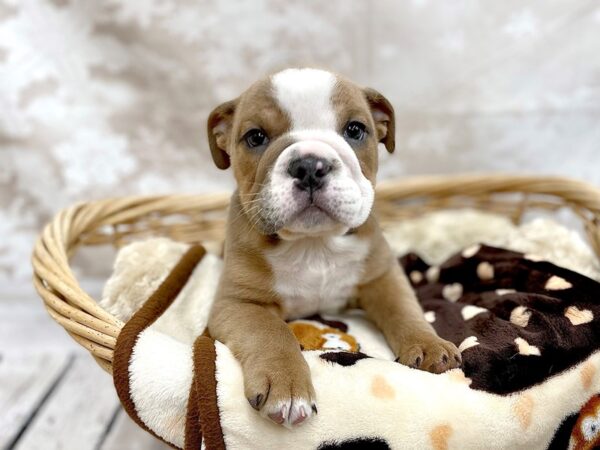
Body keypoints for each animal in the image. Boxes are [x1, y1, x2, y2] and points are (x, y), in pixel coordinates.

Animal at [206, 67, 460, 428]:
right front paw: (287, 386)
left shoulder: (383, 277)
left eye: (355, 130)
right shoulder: (239, 303)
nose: (310, 165)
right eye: (255, 137)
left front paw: (428, 343)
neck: (314, 243)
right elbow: (272, 332)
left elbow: (405, 309)